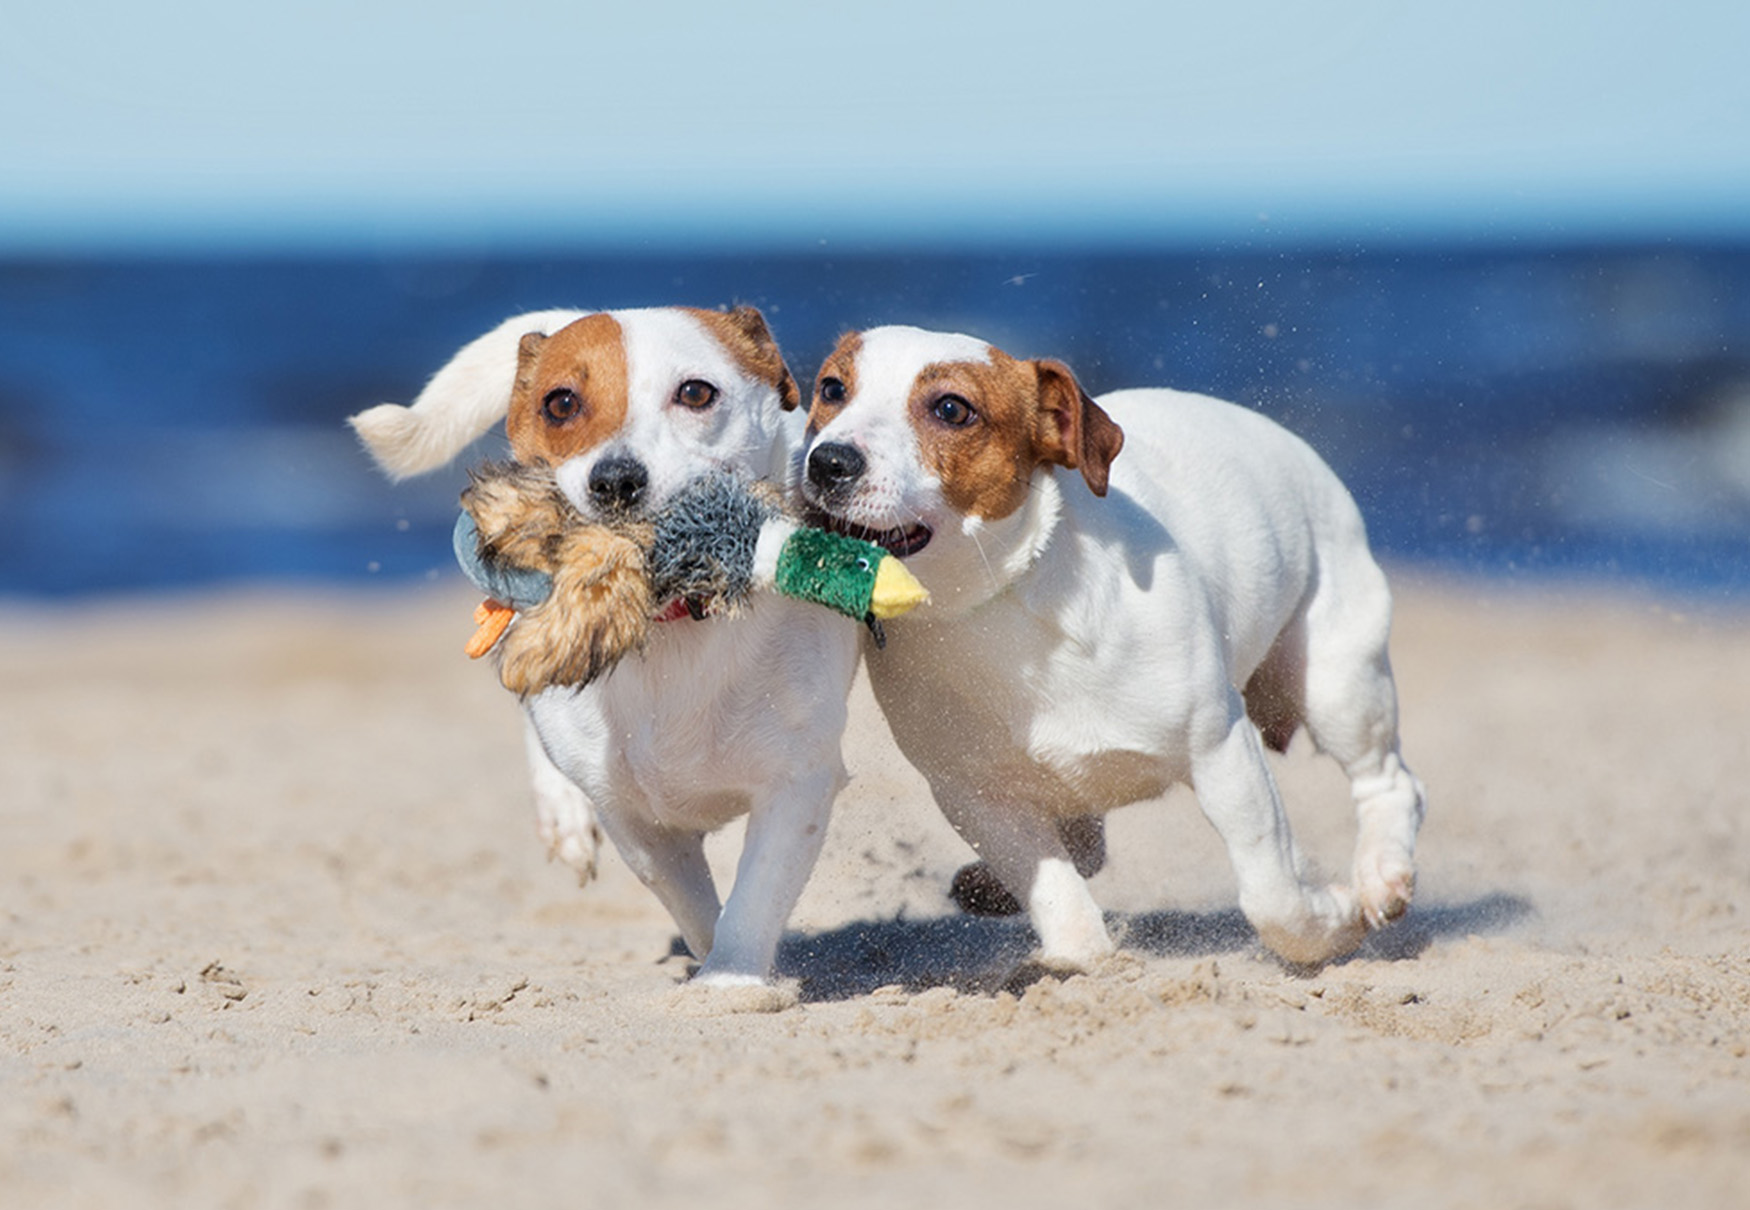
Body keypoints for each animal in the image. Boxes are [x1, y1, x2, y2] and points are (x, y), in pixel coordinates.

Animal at [344, 304, 857, 987]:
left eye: (696, 393)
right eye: (561, 402)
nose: (614, 480)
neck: (671, 617)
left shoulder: (798, 785)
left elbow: (753, 898)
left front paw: (730, 981)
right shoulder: (632, 817)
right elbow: (689, 900)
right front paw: (712, 967)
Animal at [801, 322, 1428, 966]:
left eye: (952, 408)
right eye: (832, 388)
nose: (828, 461)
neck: (1000, 602)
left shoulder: (1221, 750)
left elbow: (1272, 890)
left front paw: (1330, 923)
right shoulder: (974, 796)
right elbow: (1053, 888)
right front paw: (1081, 952)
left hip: (1338, 681)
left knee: (1388, 780)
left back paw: (1382, 875)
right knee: (1083, 843)